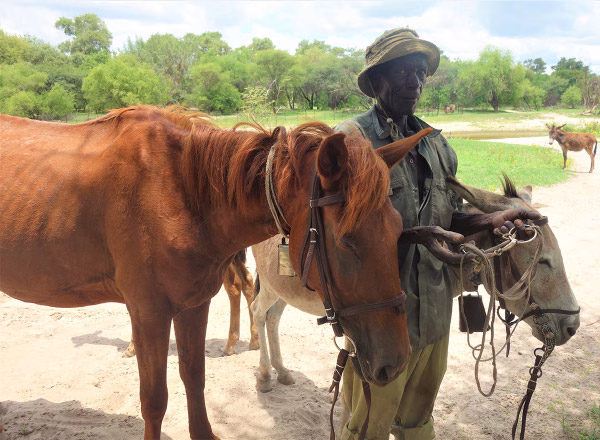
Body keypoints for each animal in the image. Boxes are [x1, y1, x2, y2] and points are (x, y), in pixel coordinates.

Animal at [250, 175, 580, 393]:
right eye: (542, 261)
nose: (572, 326)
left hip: (283, 291)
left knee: (272, 318)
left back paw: (282, 371)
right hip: (269, 286)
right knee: (257, 312)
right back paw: (265, 375)